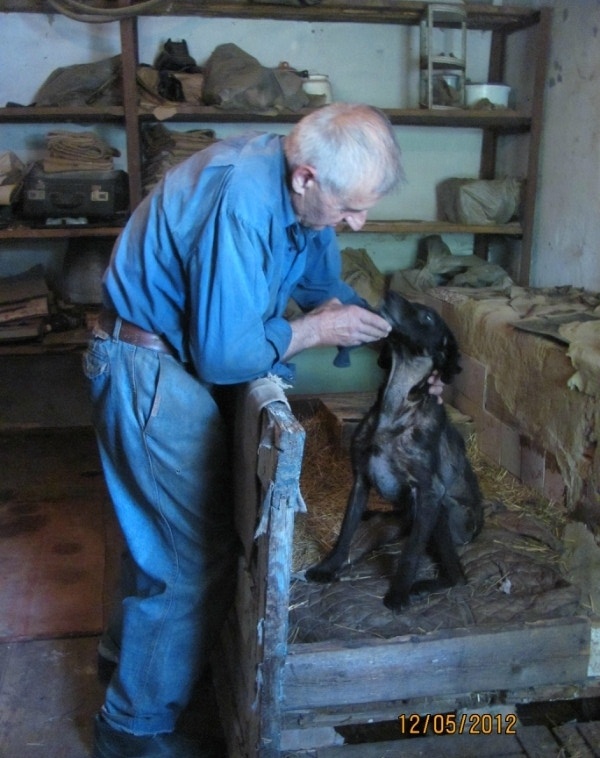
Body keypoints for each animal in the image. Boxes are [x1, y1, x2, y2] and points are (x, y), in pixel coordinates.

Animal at [308, 290, 486, 612]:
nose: (389, 294)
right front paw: (329, 567)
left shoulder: (428, 494)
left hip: (442, 514)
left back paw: (421, 586)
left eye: (427, 316)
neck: (397, 405)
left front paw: (399, 593)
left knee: (457, 575)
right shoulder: (361, 481)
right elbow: (345, 533)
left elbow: (411, 553)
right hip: (395, 521)